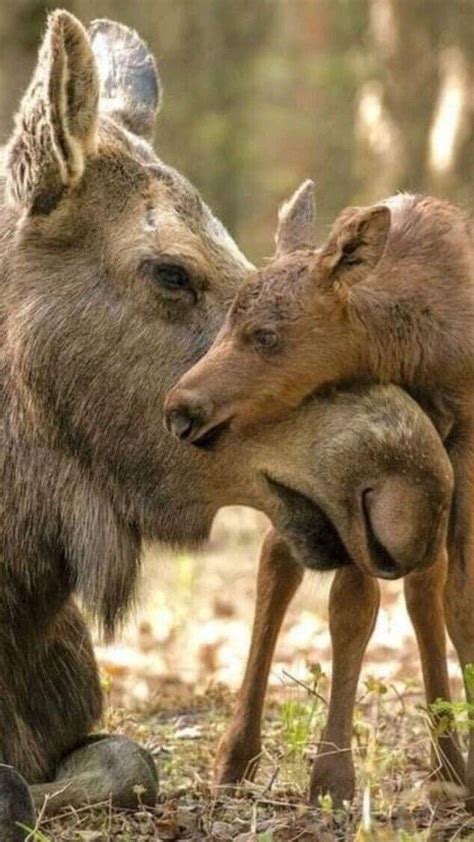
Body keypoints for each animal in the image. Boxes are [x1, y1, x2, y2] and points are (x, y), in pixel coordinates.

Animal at [165, 181, 474, 808]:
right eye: (226, 323)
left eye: (266, 335)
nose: (182, 407)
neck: (420, 346)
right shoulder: (361, 484)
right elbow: (353, 606)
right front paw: (332, 777)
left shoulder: (461, 447)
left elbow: (456, 599)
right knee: (278, 561)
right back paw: (236, 755)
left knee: (423, 586)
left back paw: (448, 764)